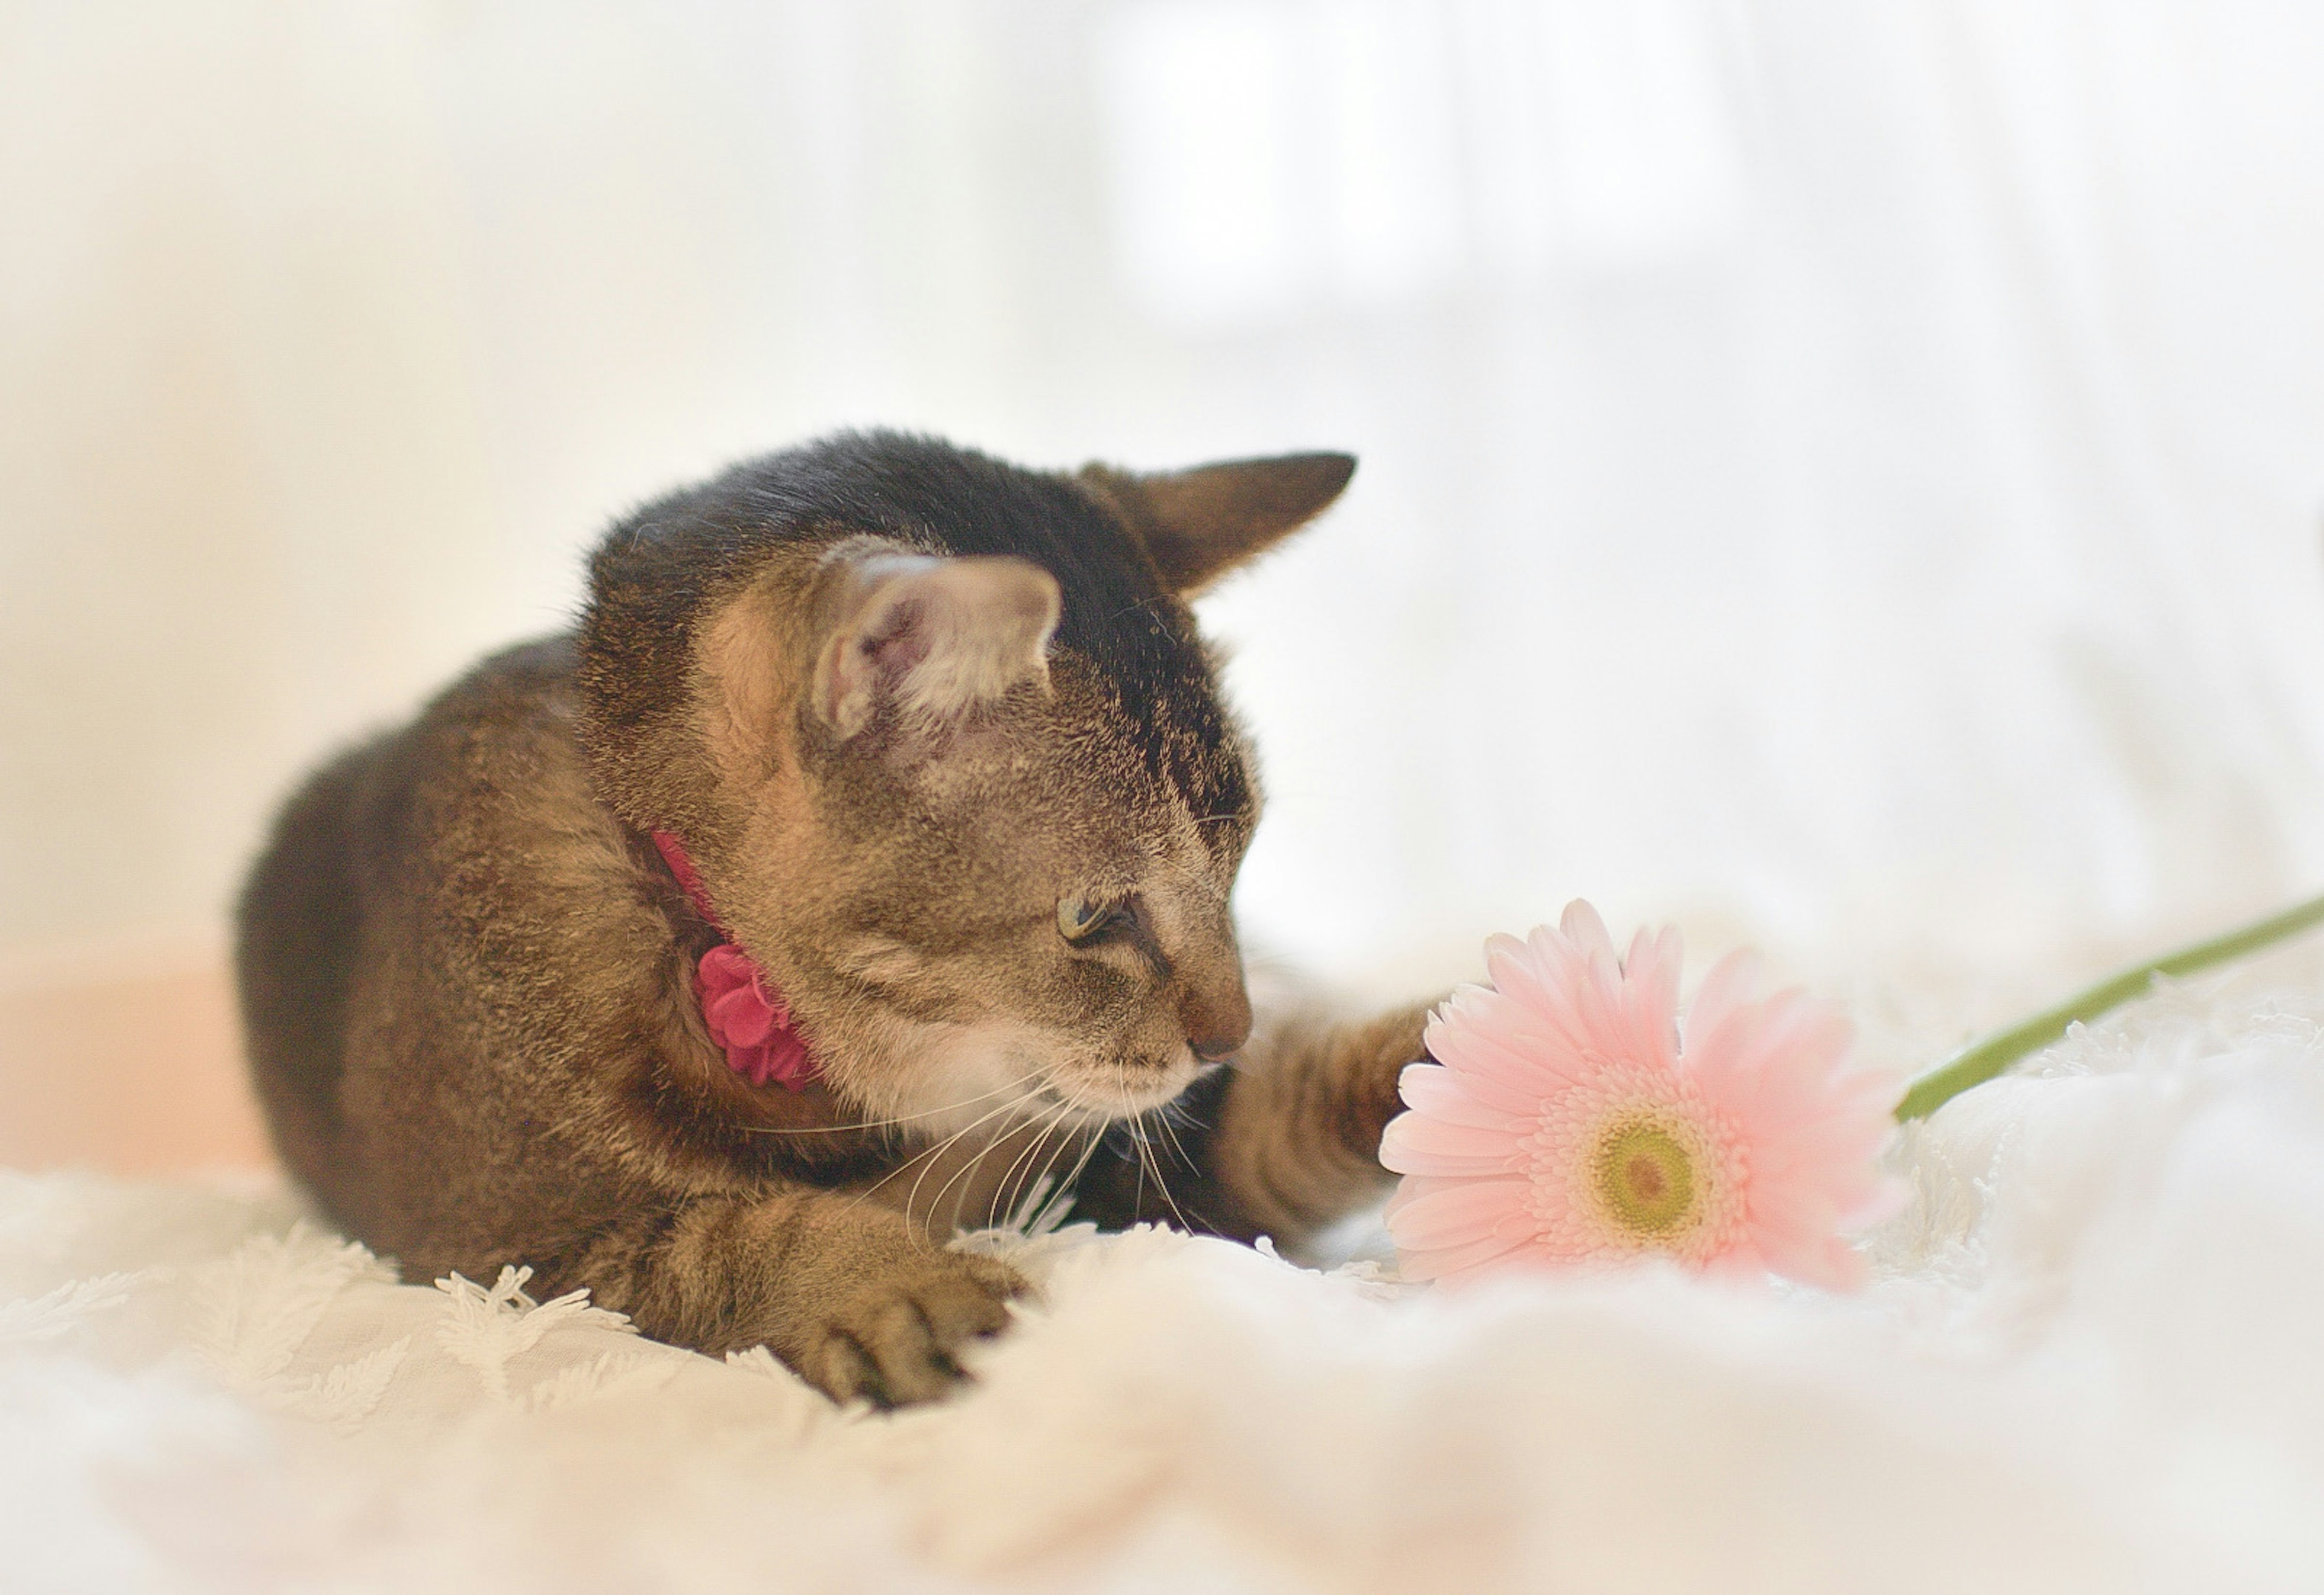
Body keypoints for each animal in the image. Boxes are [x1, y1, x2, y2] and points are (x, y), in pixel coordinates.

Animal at [235, 430, 1431, 1404]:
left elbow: (1308, 1101)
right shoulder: (502, 1251)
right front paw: (892, 1282)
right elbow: (733, 1234)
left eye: (1238, 865)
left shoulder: (1140, 1163)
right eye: (1093, 915)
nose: (1232, 1033)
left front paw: (1445, 1054)